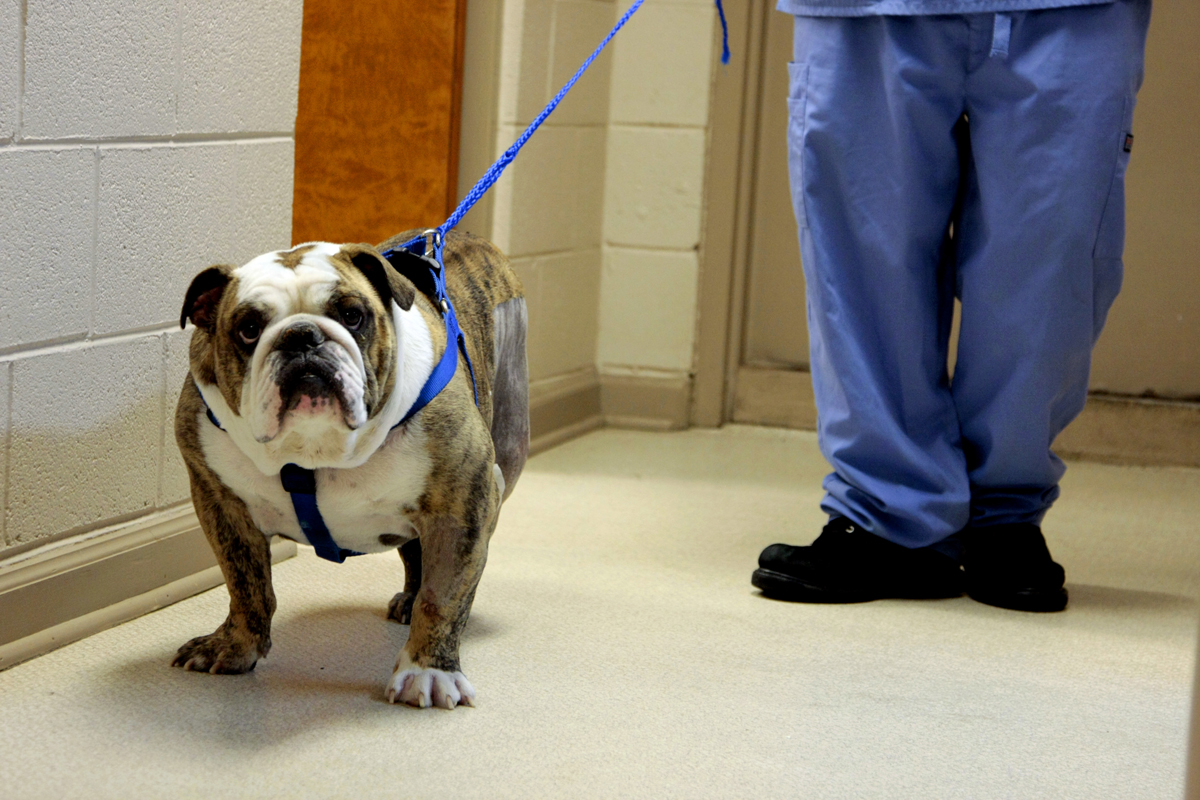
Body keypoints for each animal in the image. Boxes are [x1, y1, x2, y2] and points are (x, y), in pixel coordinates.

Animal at [172, 229, 528, 709]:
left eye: (353, 316)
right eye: (248, 329)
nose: (301, 336)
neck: (316, 447)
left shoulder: (462, 504)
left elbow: (443, 594)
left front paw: (429, 671)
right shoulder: (221, 503)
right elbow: (245, 585)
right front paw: (235, 646)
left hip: (509, 449)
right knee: (414, 550)